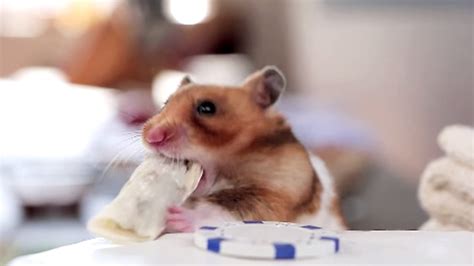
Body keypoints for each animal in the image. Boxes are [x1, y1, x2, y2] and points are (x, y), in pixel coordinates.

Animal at [143, 65, 346, 232]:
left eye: (207, 108)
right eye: (165, 104)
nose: (151, 137)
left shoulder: (277, 195)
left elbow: (220, 209)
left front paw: (174, 216)